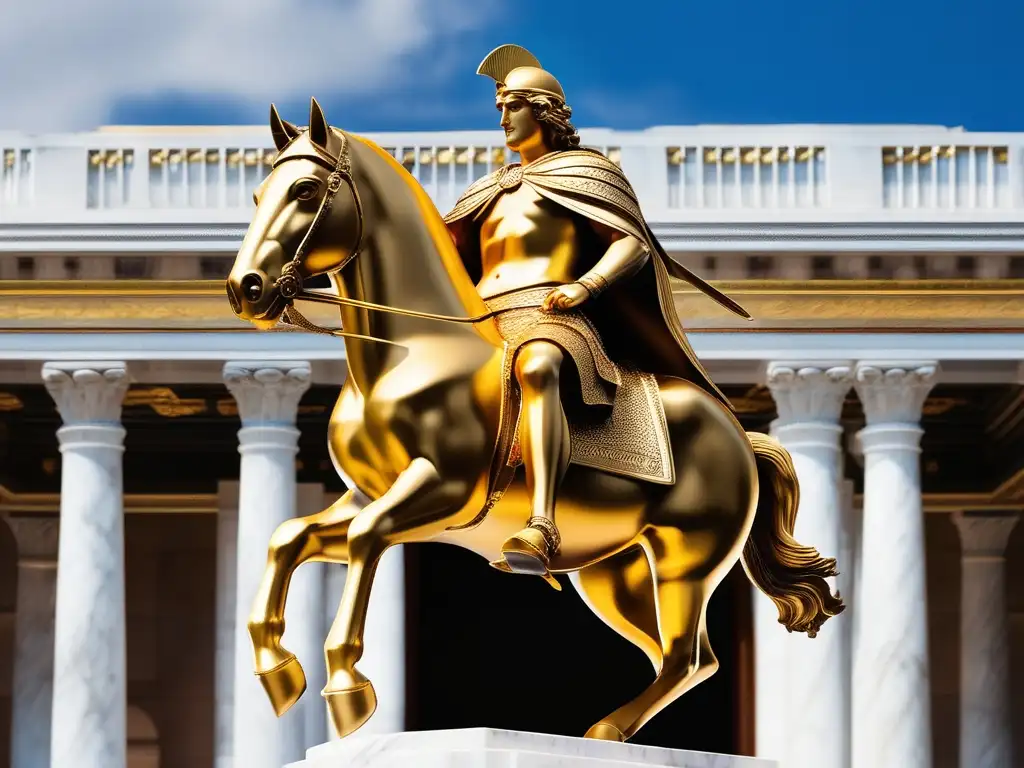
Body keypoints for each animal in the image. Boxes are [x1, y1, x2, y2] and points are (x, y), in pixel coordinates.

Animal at [228, 97, 843, 745]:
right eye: (258, 193)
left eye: (304, 189)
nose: (246, 289)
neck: (411, 350)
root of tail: (741, 436)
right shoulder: (366, 494)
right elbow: (288, 537)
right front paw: (277, 668)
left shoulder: (441, 490)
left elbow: (363, 536)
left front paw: (347, 684)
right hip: (614, 573)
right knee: (678, 657)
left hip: (687, 558)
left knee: (688, 656)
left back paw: (601, 725)